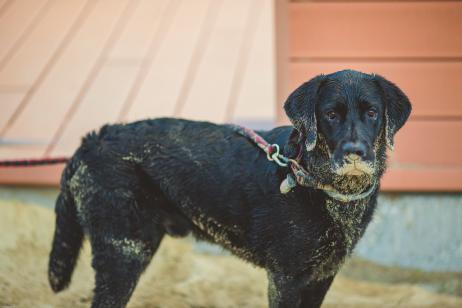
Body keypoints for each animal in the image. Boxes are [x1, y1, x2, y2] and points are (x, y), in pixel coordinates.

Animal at [48, 70, 412, 308]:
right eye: (331, 115)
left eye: (372, 113)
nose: (355, 152)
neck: (314, 181)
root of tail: (90, 141)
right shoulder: (286, 278)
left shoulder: (322, 276)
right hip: (123, 252)